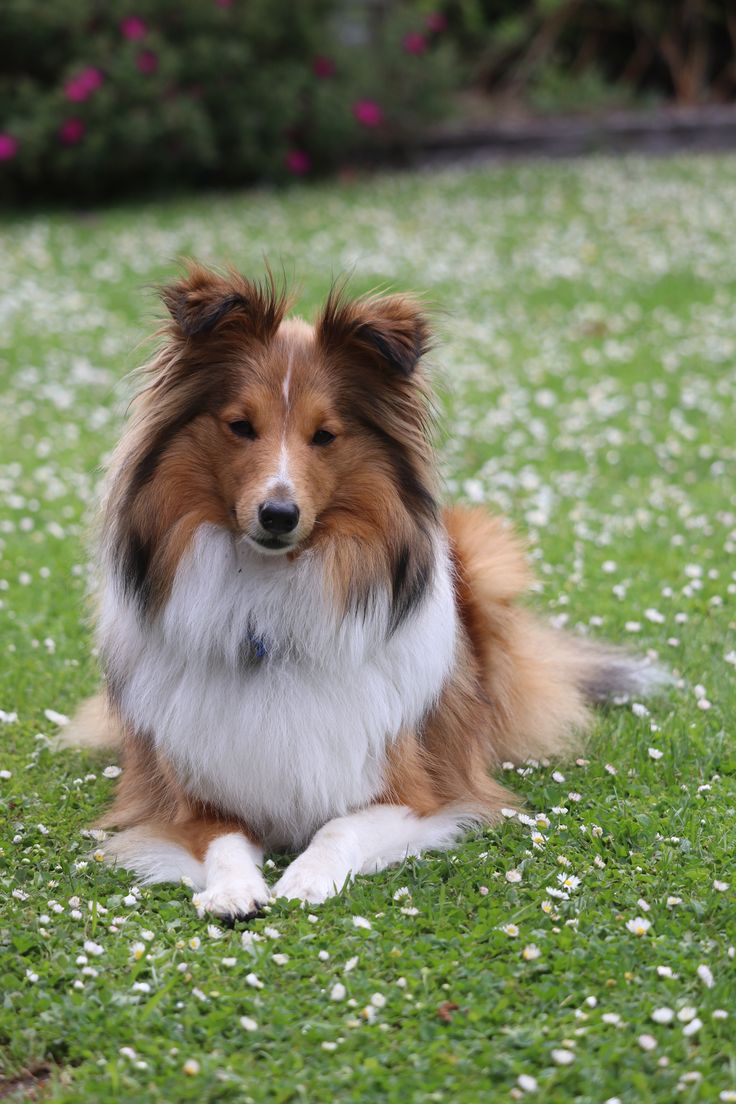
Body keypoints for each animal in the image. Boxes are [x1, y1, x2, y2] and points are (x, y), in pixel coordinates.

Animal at [66, 267, 666, 922]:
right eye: (241, 426)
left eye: (324, 436)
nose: (278, 515)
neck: (270, 606)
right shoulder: (185, 800)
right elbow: (223, 838)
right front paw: (234, 890)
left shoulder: (418, 792)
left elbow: (340, 827)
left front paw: (305, 879)